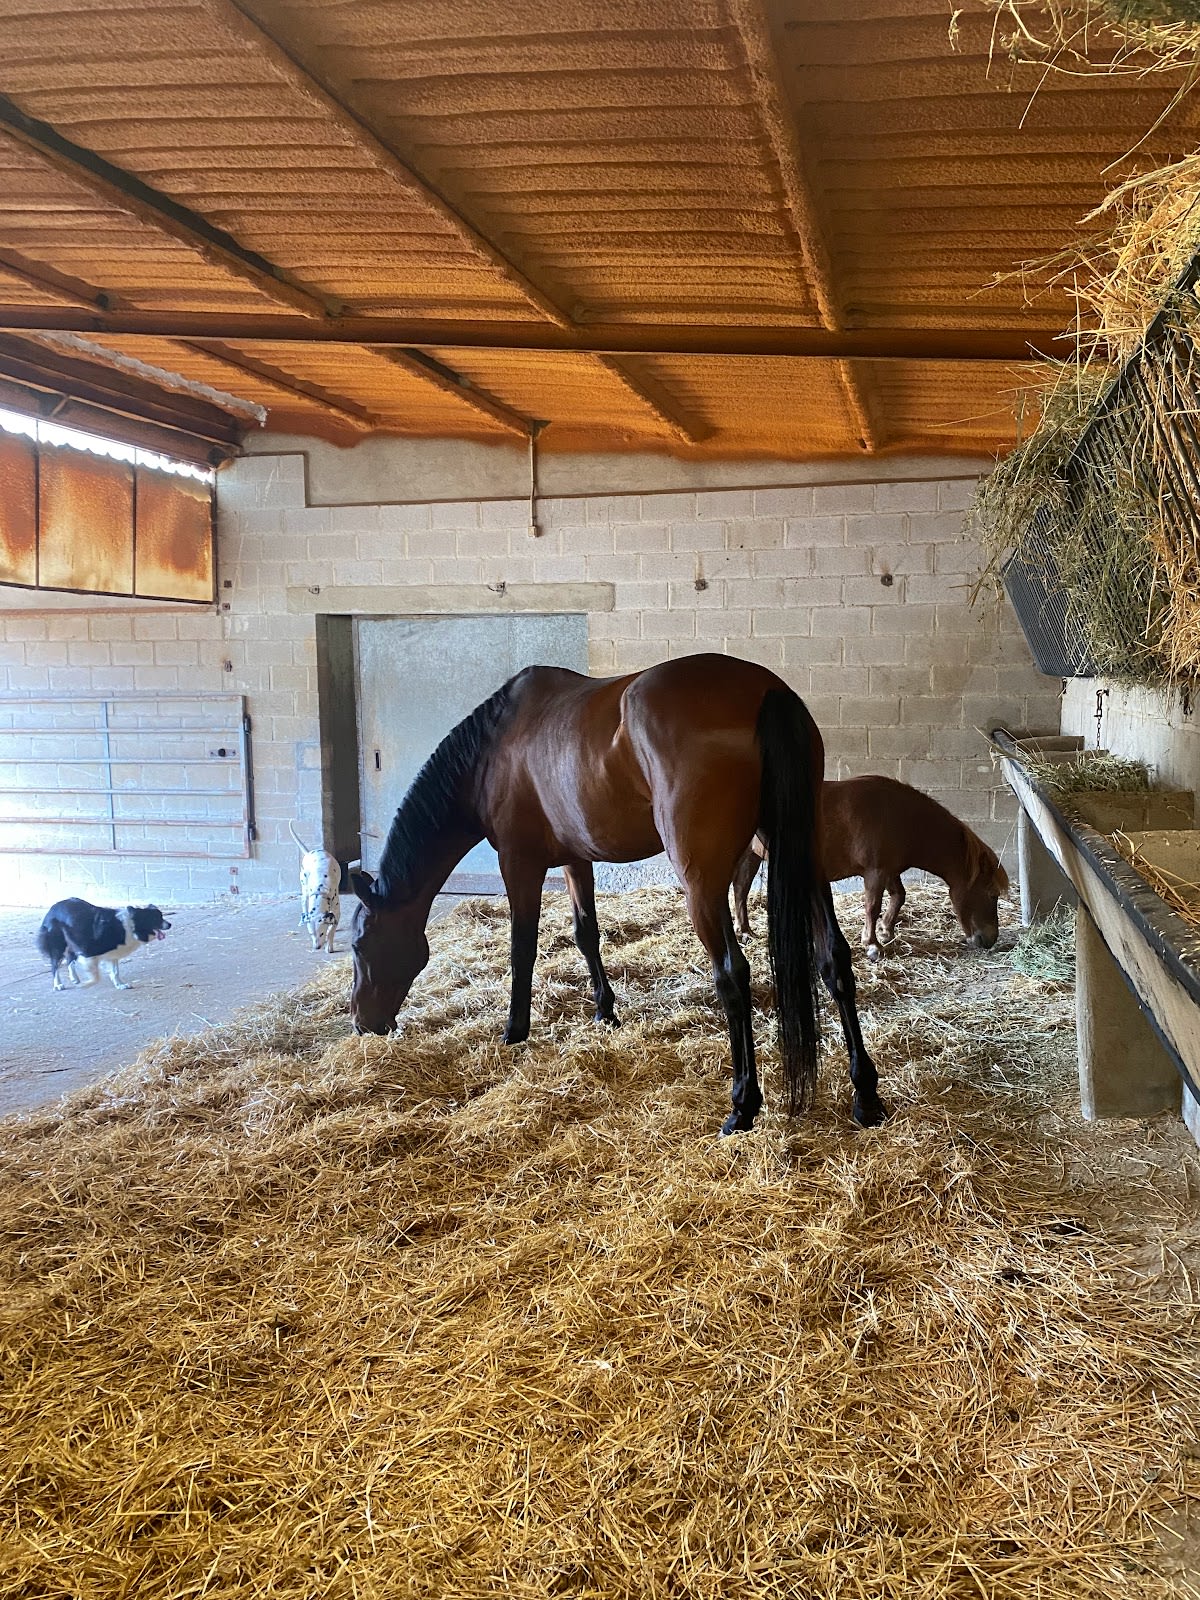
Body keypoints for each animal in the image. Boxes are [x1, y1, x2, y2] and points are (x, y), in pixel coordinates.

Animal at [349, 653, 883, 1135]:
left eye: (358, 944)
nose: (361, 1022)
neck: (494, 747)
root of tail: (765, 690)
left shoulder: (519, 865)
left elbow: (522, 947)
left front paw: (514, 1031)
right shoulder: (574, 858)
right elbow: (586, 933)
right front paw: (605, 1011)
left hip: (703, 885)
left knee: (733, 975)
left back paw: (742, 1105)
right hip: (801, 856)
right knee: (834, 958)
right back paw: (866, 1096)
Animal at [731, 774, 1010, 960]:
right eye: (991, 894)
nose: (989, 940)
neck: (903, 818)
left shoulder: (890, 870)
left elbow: (899, 896)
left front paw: (886, 931)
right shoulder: (876, 872)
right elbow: (872, 906)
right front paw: (872, 945)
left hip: (751, 855)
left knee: (741, 888)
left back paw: (745, 932)